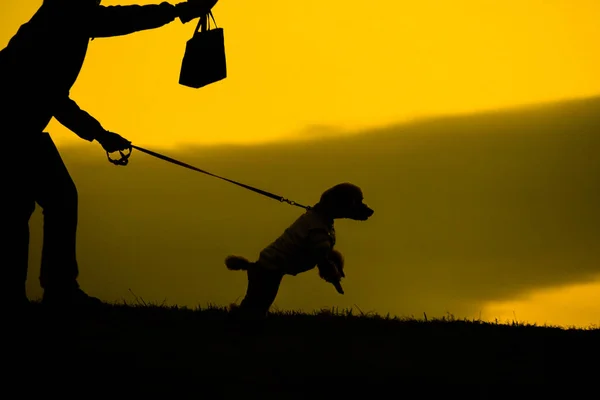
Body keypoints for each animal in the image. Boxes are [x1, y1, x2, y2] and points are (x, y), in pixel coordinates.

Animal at [225, 184, 376, 318]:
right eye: (356, 201)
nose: (371, 211)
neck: (323, 214)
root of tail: (252, 265)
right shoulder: (319, 248)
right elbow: (329, 269)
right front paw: (338, 285)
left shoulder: (327, 250)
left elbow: (335, 258)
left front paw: (341, 273)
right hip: (264, 283)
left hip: (269, 286)